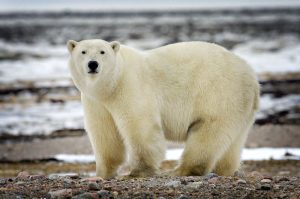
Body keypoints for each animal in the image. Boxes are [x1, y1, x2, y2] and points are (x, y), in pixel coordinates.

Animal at [67, 39, 258, 179]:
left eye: (102, 52)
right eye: (83, 52)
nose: (93, 64)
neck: (111, 86)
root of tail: (252, 77)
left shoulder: (131, 86)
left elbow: (139, 126)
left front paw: (137, 172)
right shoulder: (95, 102)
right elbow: (104, 134)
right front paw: (101, 174)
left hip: (219, 95)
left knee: (207, 133)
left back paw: (180, 171)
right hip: (239, 106)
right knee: (233, 143)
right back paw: (224, 170)